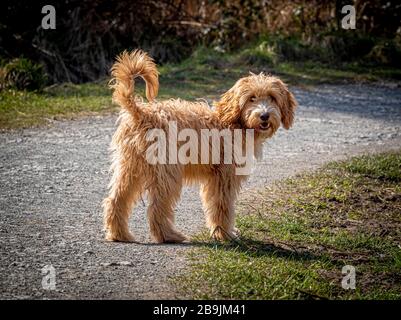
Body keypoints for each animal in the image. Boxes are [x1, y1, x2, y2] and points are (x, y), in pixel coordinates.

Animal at [103, 49, 296, 242]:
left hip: (129, 167)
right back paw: (169, 235)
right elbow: (222, 206)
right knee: (157, 206)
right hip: (166, 172)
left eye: (272, 98)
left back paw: (119, 234)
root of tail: (142, 113)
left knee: (116, 200)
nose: (264, 116)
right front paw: (225, 234)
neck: (233, 123)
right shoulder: (224, 176)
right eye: (251, 98)